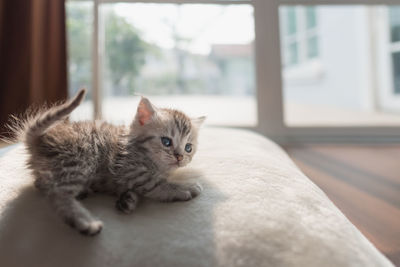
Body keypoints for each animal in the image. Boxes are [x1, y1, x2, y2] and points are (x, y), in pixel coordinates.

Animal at [9, 90, 205, 237]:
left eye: (188, 148)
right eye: (166, 142)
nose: (179, 157)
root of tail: (39, 140)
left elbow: (134, 191)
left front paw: (128, 200)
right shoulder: (129, 169)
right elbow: (158, 184)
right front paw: (183, 187)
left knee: (43, 184)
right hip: (79, 159)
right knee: (58, 194)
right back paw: (86, 223)